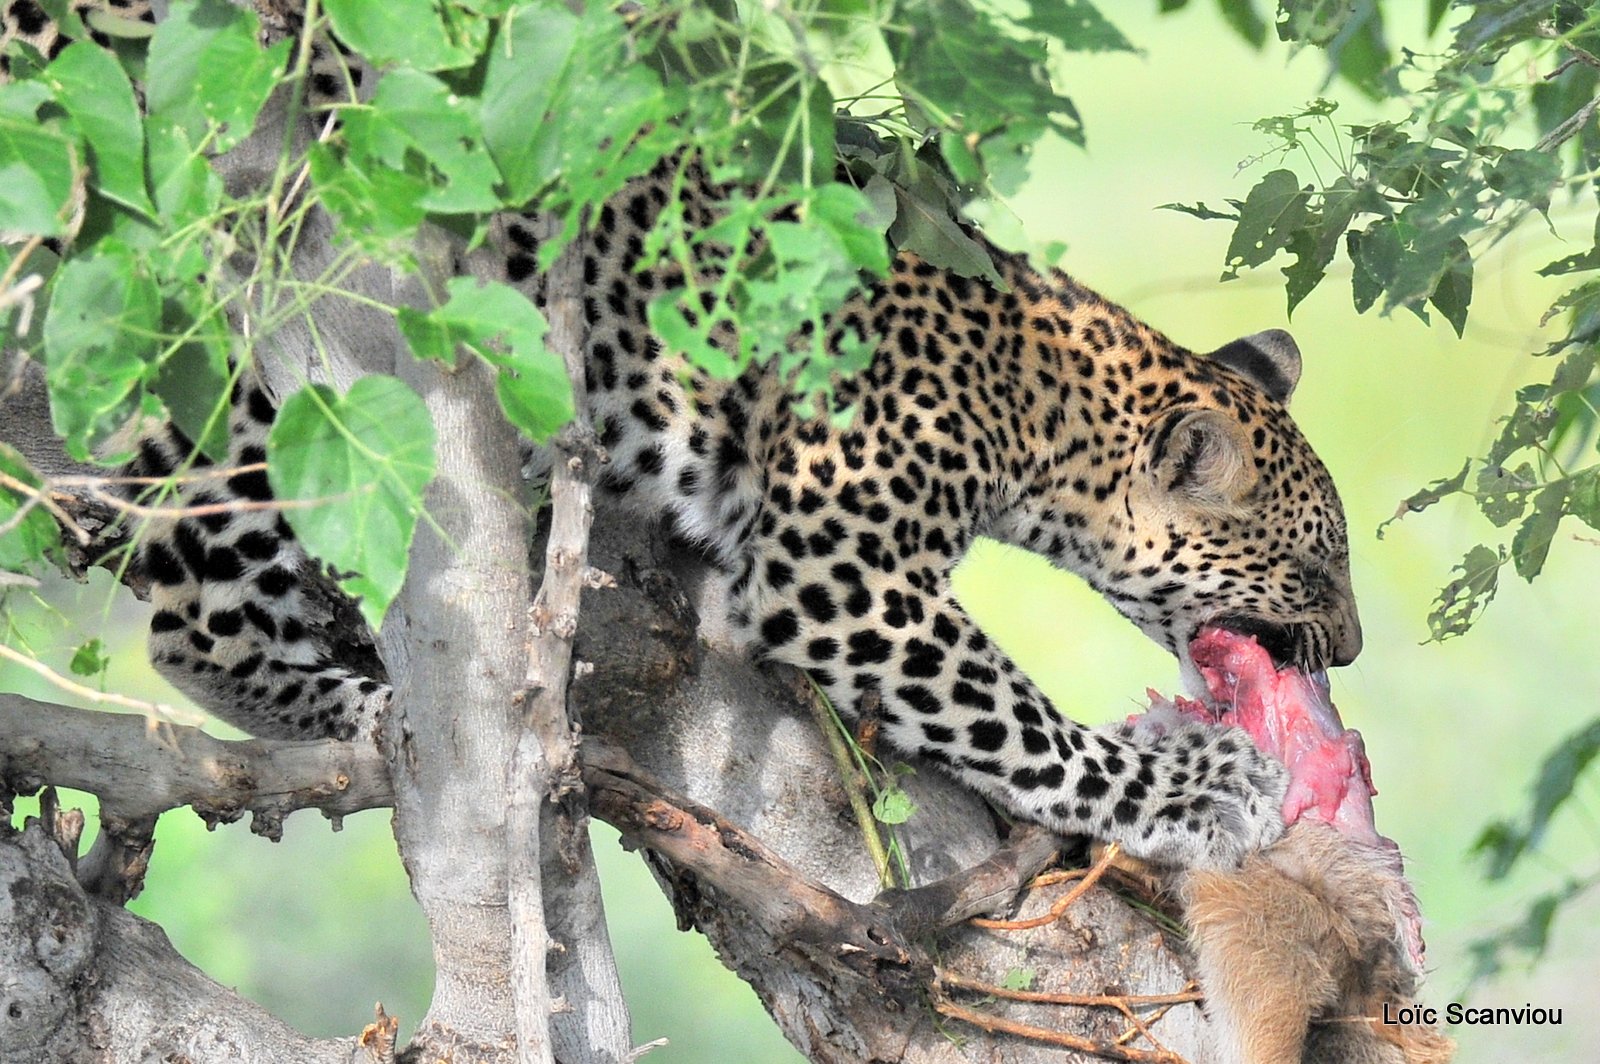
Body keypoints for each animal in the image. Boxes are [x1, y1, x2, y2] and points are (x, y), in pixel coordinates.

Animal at [3, 2, 1363, 870]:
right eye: (1311, 567)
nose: (1345, 648)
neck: (1037, 409)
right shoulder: (842, 575)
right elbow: (1013, 713)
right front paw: (1189, 792)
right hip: (221, 357)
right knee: (195, 626)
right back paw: (379, 710)